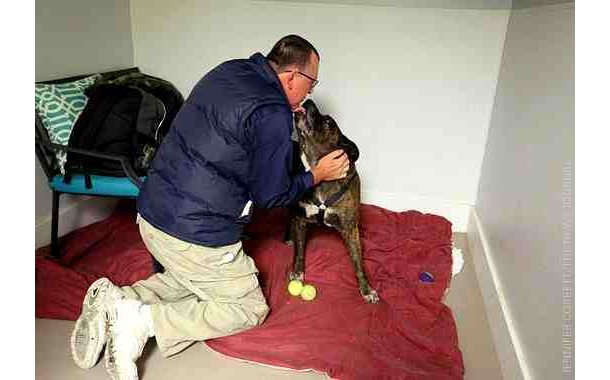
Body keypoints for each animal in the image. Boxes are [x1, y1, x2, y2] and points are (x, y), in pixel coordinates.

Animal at [284, 99, 376, 304]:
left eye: (328, 122)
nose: (309, 101)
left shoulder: (350, 229)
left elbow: (358, 262)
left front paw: (366, 289)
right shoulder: (301, 219)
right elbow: (299, 251)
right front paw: (297, 272)